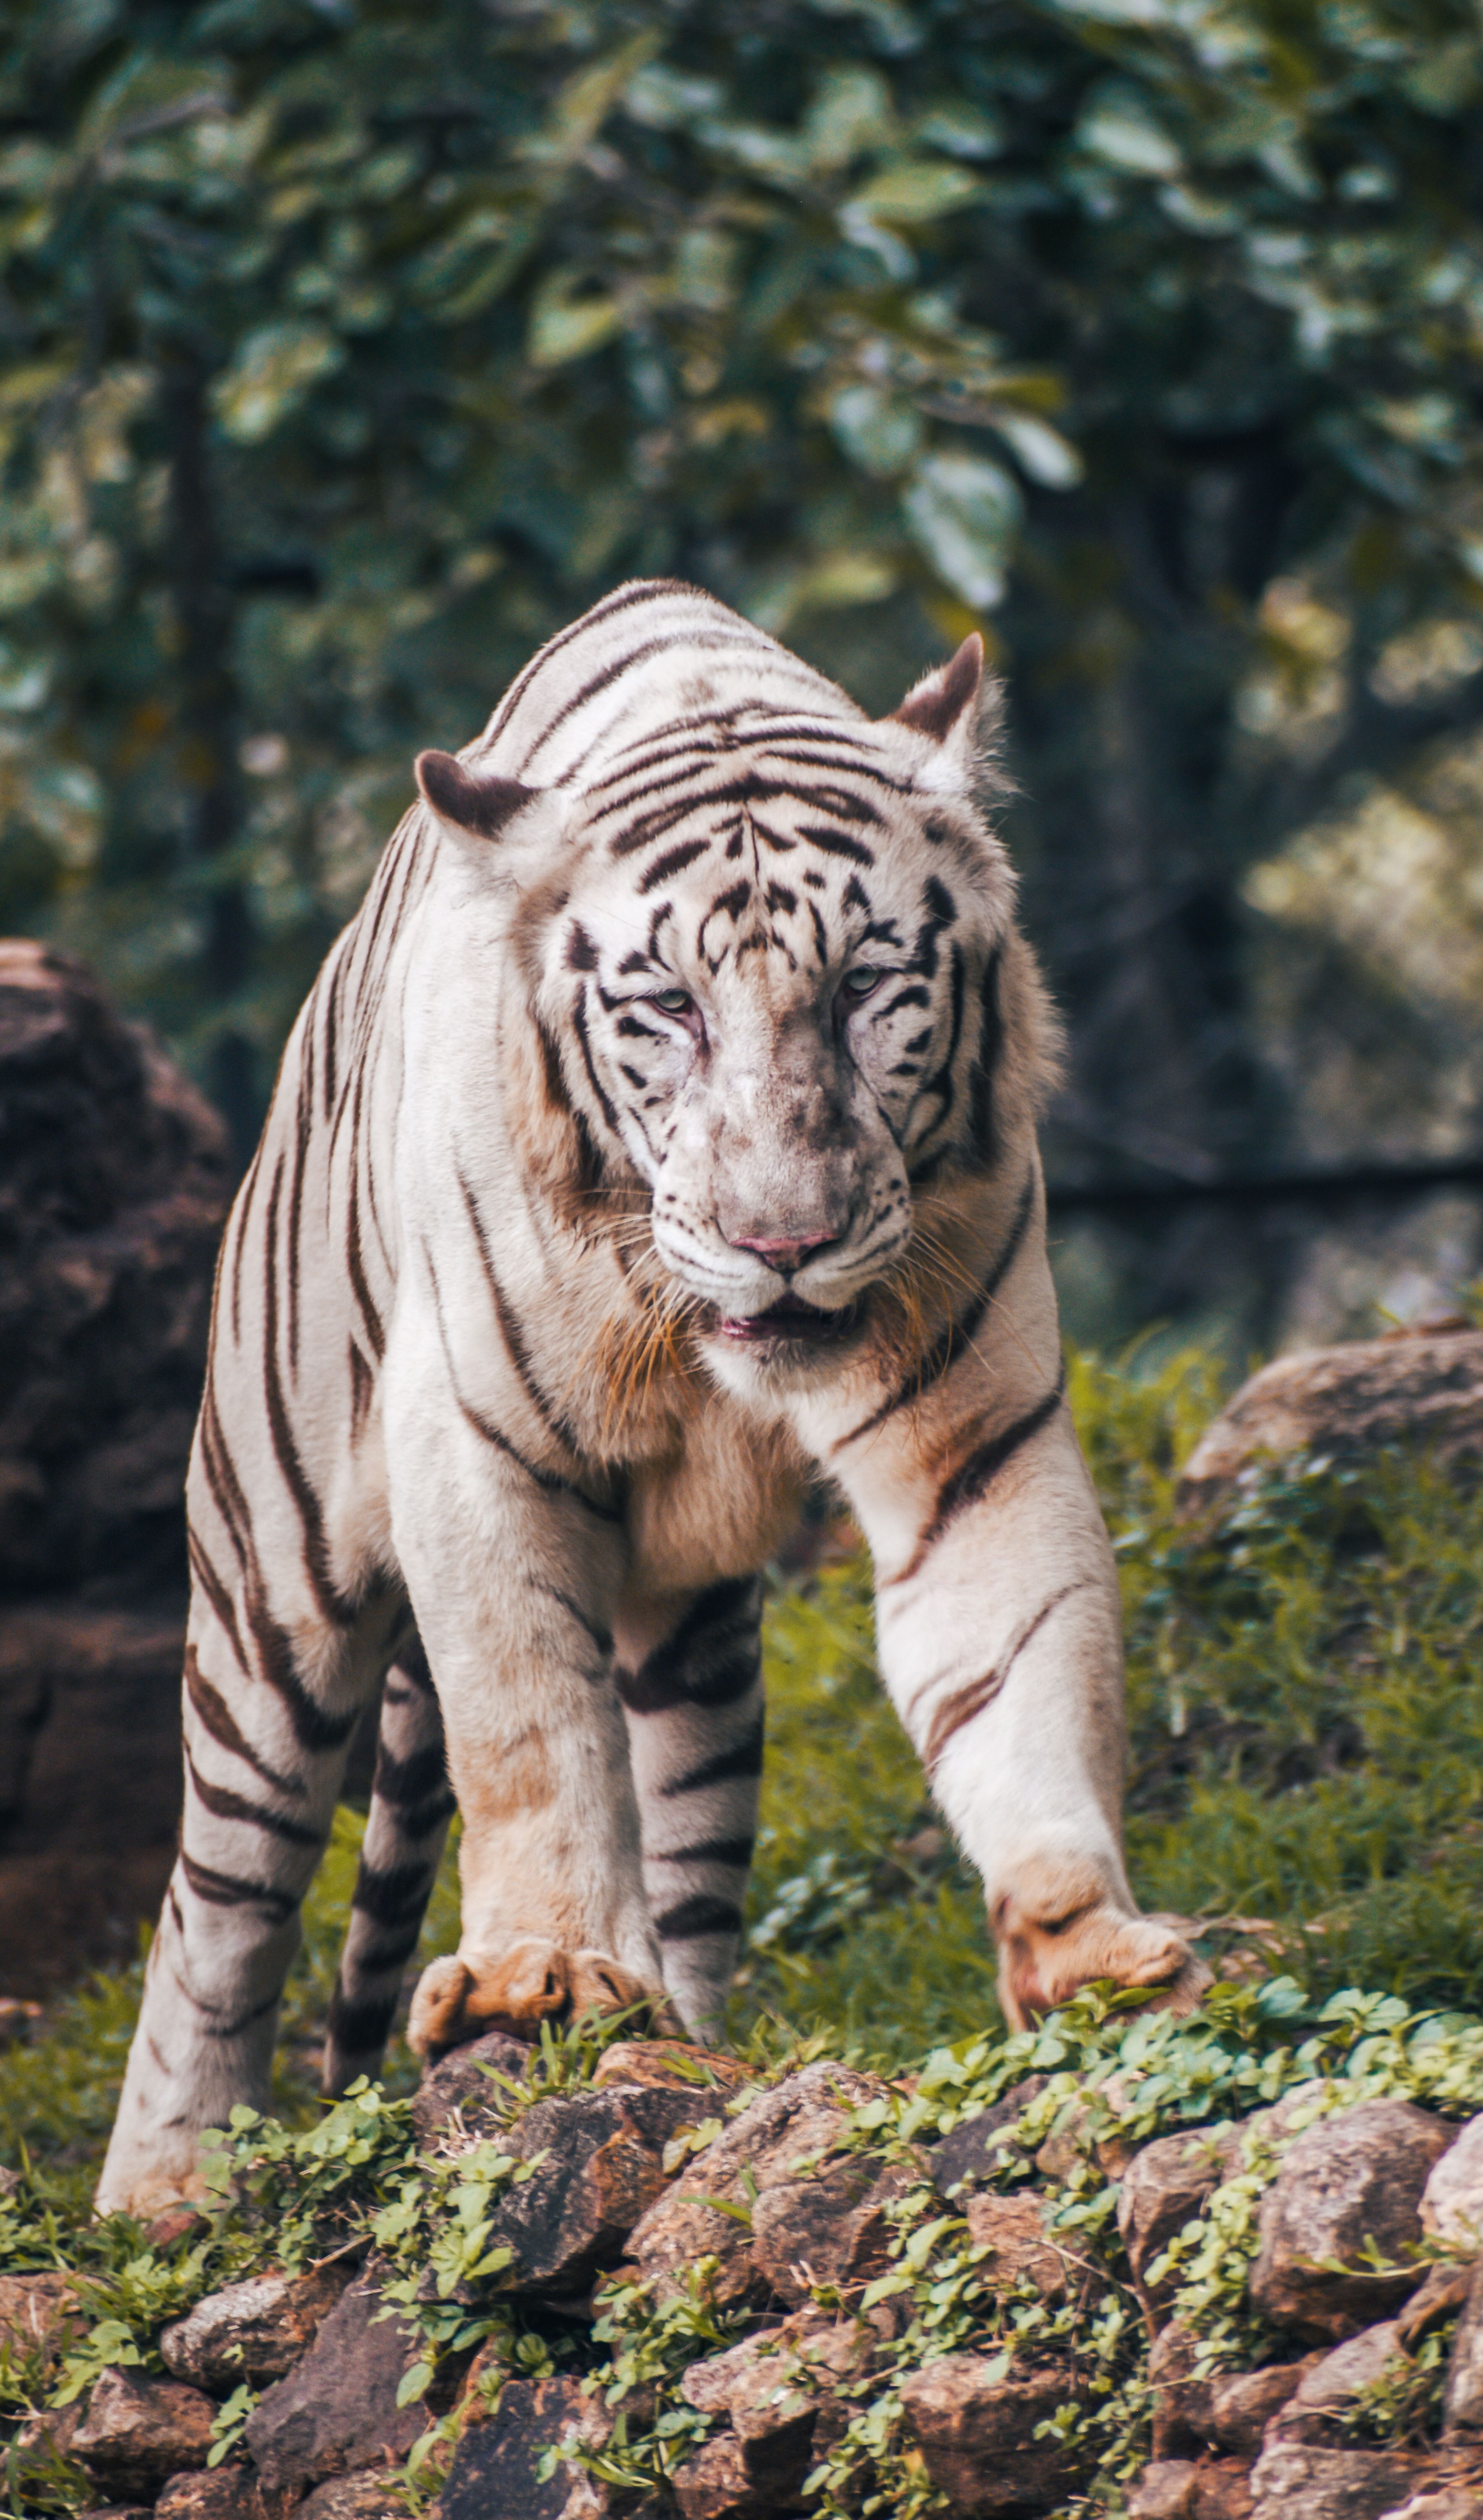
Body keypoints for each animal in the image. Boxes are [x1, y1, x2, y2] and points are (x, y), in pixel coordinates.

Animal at [97, 578, 1205, 2218]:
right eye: (666, 1008)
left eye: (865, 989)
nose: (783, 1241)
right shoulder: (473, 1446)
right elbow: (523, 1724)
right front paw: (540, 1969)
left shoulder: (974, 1438)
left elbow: (1021, 1663)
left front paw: (1091, 1948)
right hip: (267, 1588)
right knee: (217, 1904)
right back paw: (166, 2188)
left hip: (693, 1638)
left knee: (678, 1809)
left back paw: (681, 2044)